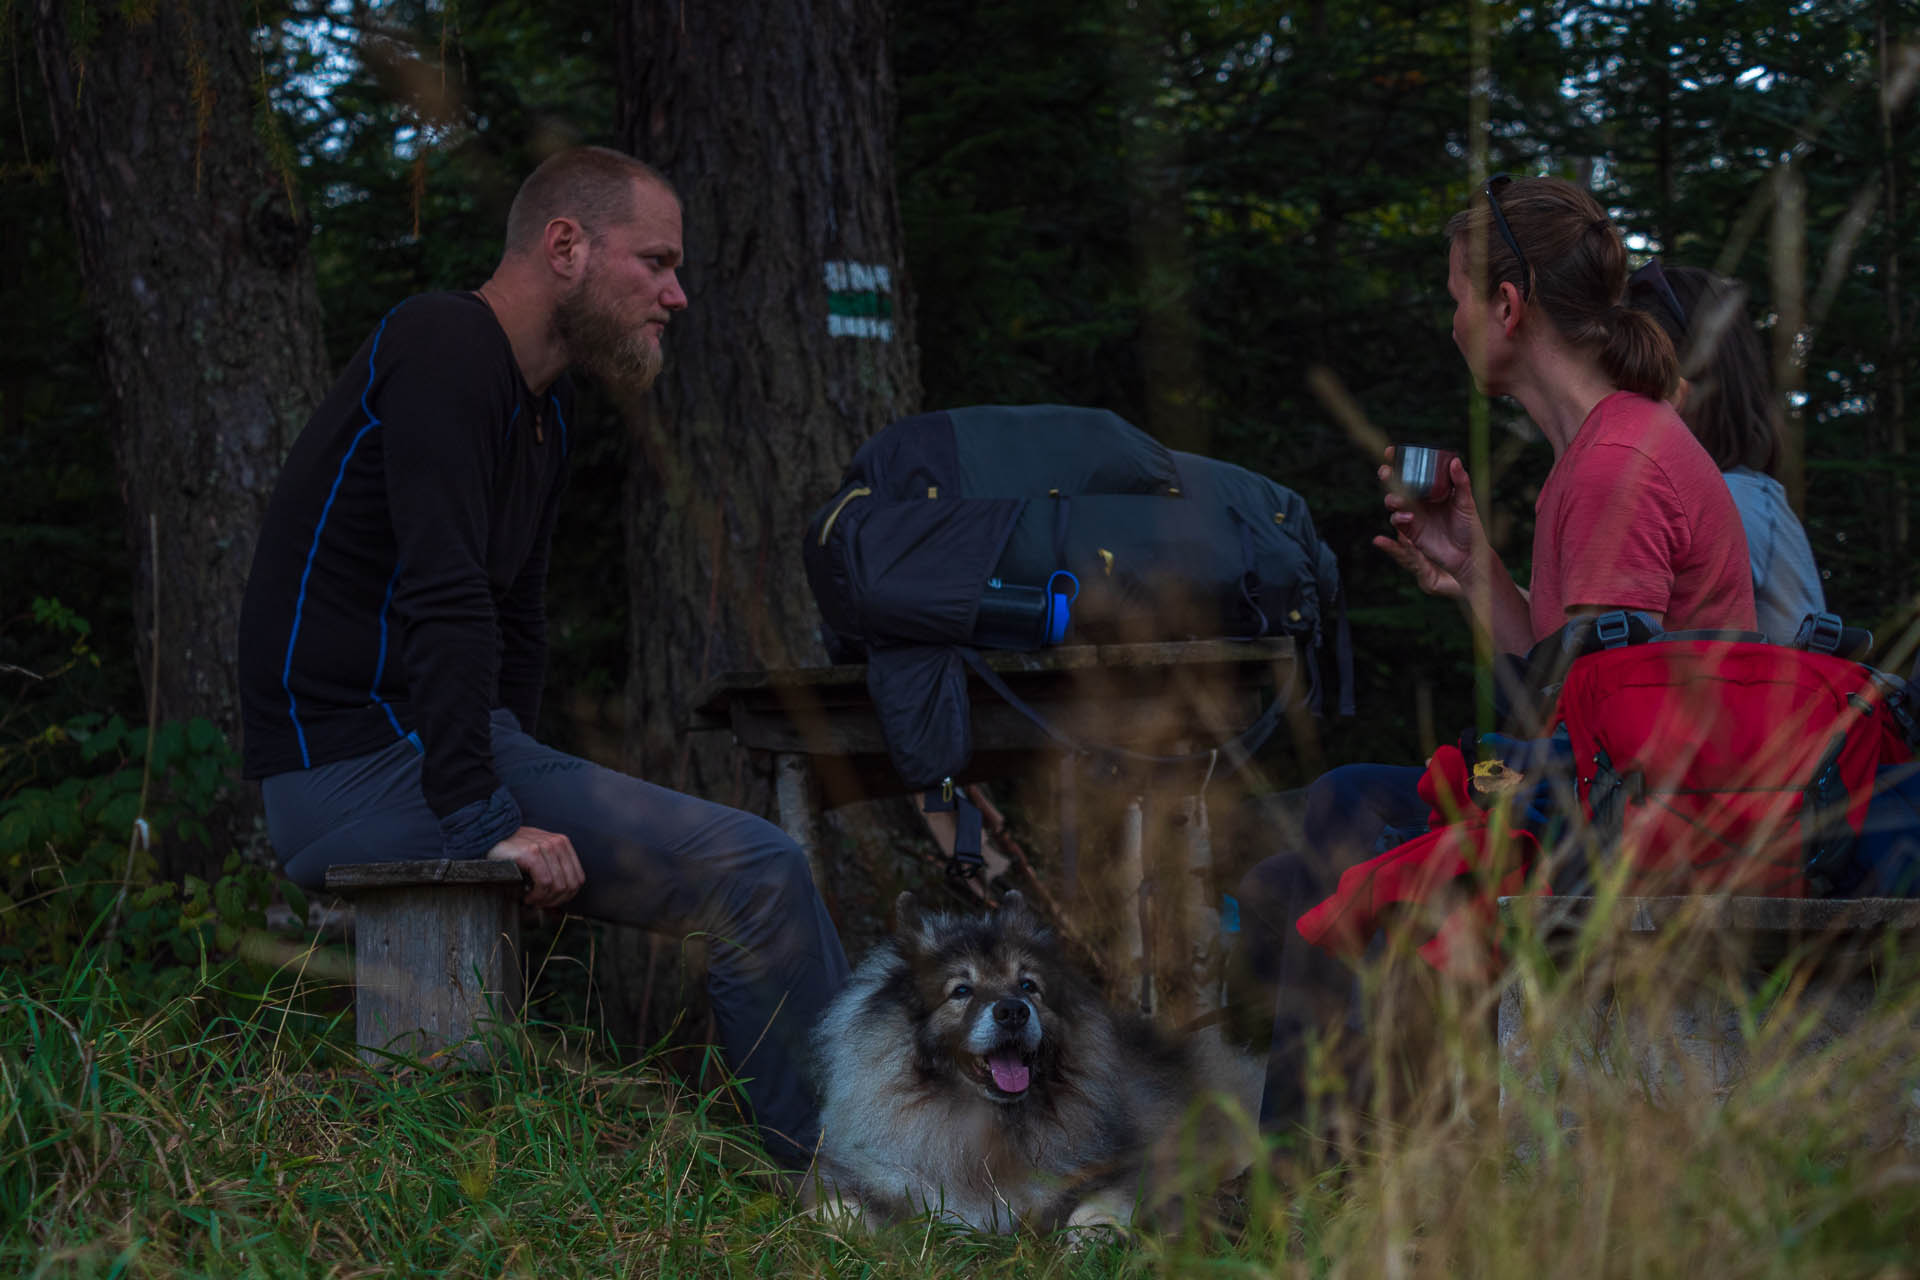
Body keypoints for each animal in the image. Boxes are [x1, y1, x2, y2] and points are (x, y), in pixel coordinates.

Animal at [806, 890, 1267, 1228]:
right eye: (961, 991)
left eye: (1028, 986)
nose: (1013, 1011)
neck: (985, 1123)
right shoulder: (864, 1175)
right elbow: (835, 1210)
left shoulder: (1128, 1168)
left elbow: (1095, 1208)